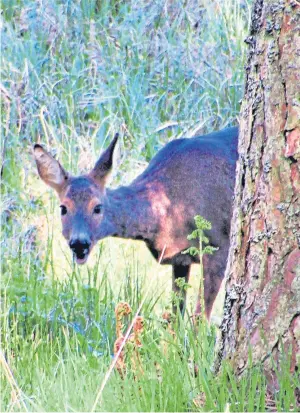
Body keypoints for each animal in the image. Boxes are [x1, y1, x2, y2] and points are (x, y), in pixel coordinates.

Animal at [33, 126, 239, 318]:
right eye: (63, 208)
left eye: (97, 207)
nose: (79, 244)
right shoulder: (180, 258)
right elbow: (176, 315)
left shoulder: (218, 246)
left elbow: (199, 319)